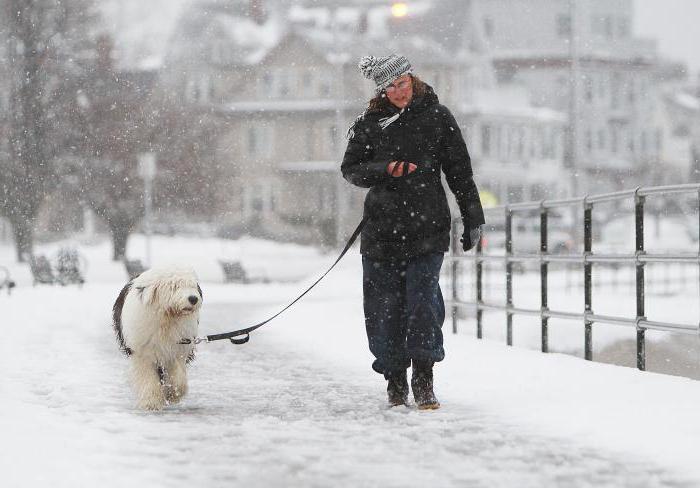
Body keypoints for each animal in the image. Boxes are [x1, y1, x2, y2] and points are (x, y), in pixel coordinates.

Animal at [110, 264, 202, 410]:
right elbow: (147, 377)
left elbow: (178, 375)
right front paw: (151, 403)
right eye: (174, 286)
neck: (167, 318)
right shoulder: (142, 352)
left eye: (192, 285)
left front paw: (173, 393)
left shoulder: (178, 347)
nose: (193, 299)